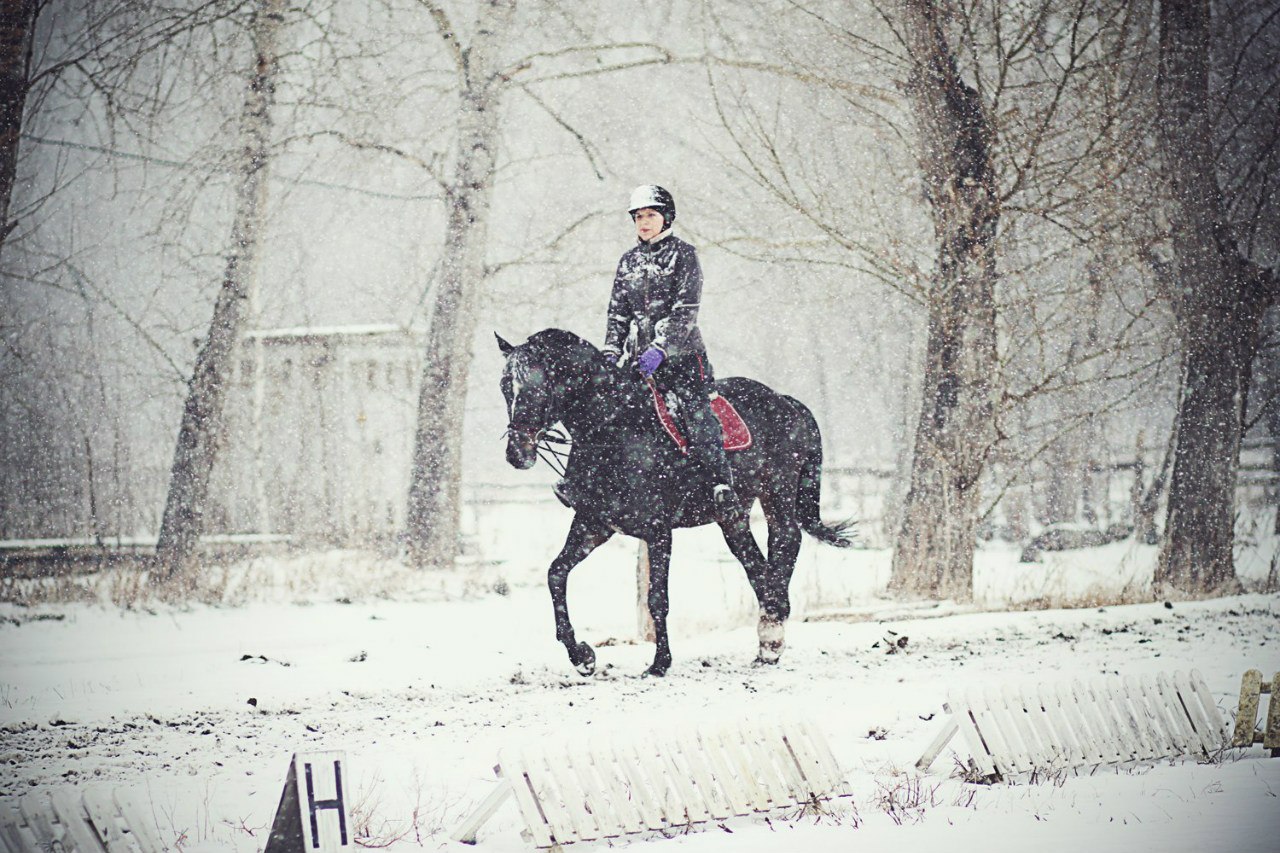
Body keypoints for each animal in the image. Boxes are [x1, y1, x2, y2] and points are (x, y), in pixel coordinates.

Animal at [496, 327, 849, 676]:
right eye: (504, 387)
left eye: (537, 386)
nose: (517, 453)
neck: (614, 428)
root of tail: (786, 402)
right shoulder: (594, 524)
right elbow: (556, 574)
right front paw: (581, 655)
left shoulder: (658, 531)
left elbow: (657, 599)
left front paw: (659, 663)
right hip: (733, 517)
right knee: (757, 567)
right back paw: (768, 637)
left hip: (777, 493)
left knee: (786, 540)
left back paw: (772, 632)